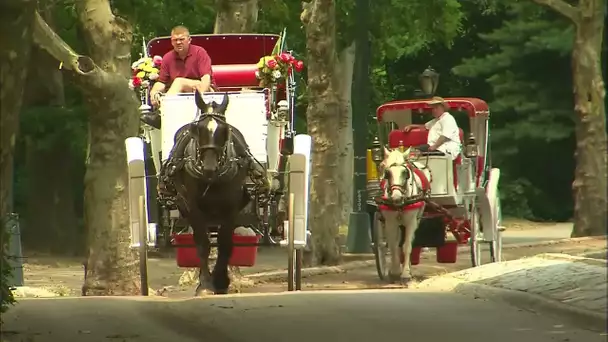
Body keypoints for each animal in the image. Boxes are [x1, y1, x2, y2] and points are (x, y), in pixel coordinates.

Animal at [158, 92, 258, 296]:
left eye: (225, 130)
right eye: (197, 129)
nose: (209, 167)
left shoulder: (231, 207)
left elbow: (224, 243)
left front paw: (221, 280)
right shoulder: (193, 207)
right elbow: (203, 244)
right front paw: (205, 284)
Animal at [380, 147, 432, 284]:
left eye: (405, 172)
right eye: (387, 173)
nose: (396, 198)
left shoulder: (411, 222)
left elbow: (407, 246)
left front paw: (405, 273)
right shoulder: (390, 223)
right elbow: (393, 246)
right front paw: (395, 271)